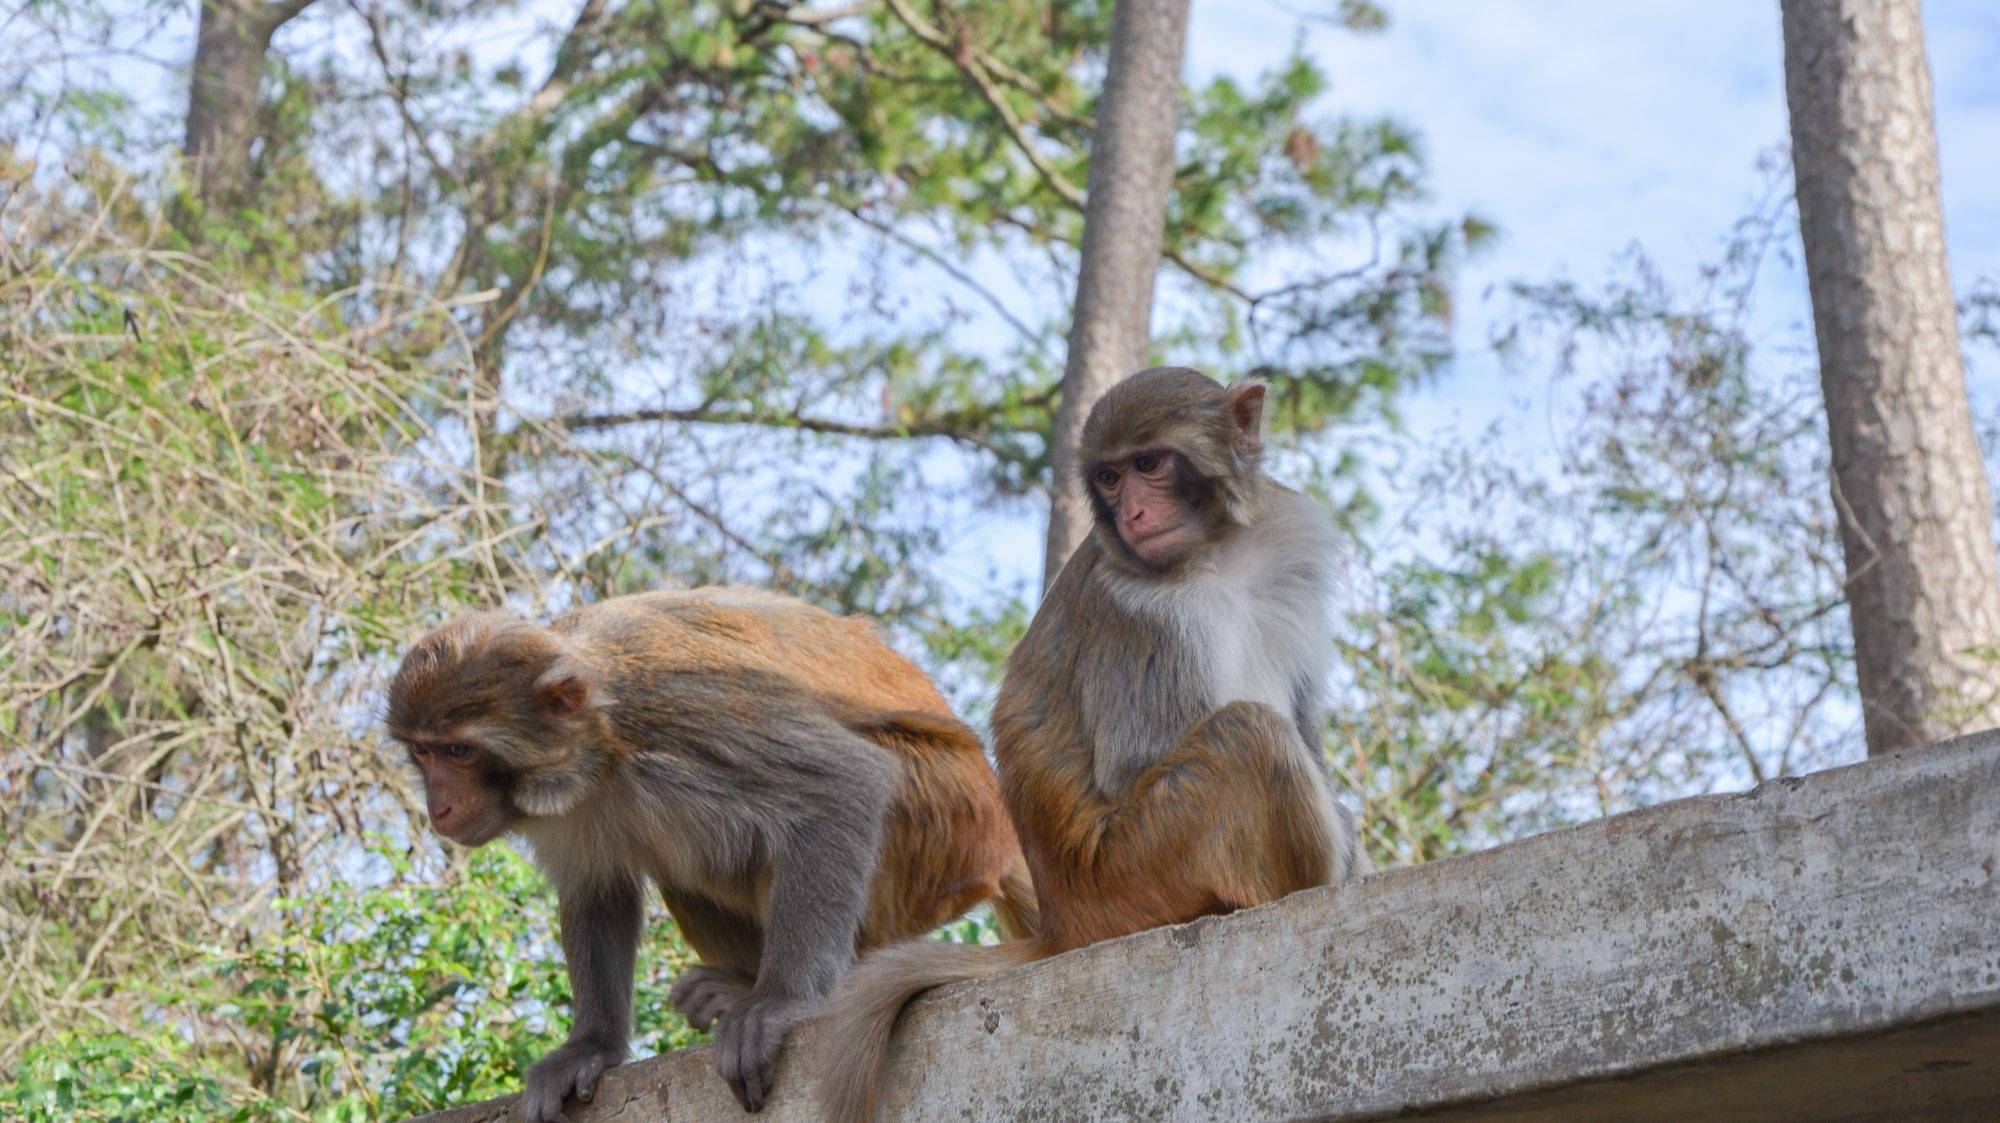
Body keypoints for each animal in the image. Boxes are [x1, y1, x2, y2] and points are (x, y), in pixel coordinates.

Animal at [380, 587, 1032, 1119]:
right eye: (423, 753)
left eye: (460, 752)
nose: (439, 806)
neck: (601, 747)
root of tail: (1000, 833)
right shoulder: (574, 808)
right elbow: (598, 887)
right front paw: (591, 1046)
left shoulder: (685, 715)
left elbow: (842, 783)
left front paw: (781, 1002)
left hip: (942, 831)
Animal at [820, 367, 1368, 1119]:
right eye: (1109, 477)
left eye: (1149, 464)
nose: (1132, 512)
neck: (1215, 553)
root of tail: (1064, 926)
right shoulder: (1139, 613)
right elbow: (1134, 763)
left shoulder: (1291, 542)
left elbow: (1307, 725)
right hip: (1140, 867)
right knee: (1248, 734)